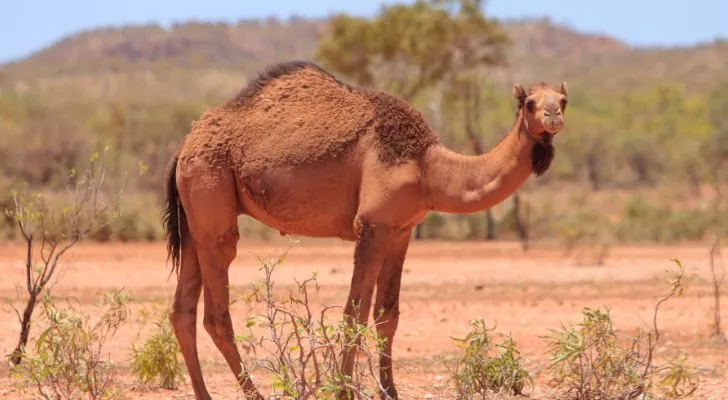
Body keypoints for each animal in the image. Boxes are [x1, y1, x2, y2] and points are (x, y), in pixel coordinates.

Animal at [162, 60, 564, 400]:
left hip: (194, 217)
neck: (428, 167)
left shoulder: (401, 230)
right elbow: (353, 313)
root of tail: (183, 146)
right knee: (216, 310)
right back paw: (253, 394)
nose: (553, 115)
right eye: (530, 102)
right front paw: (343, 391)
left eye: (563, 99)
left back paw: (204, 394)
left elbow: (388, 315)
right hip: (210, 190)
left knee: (182, 310)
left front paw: (390, 392)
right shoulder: (372, 225)